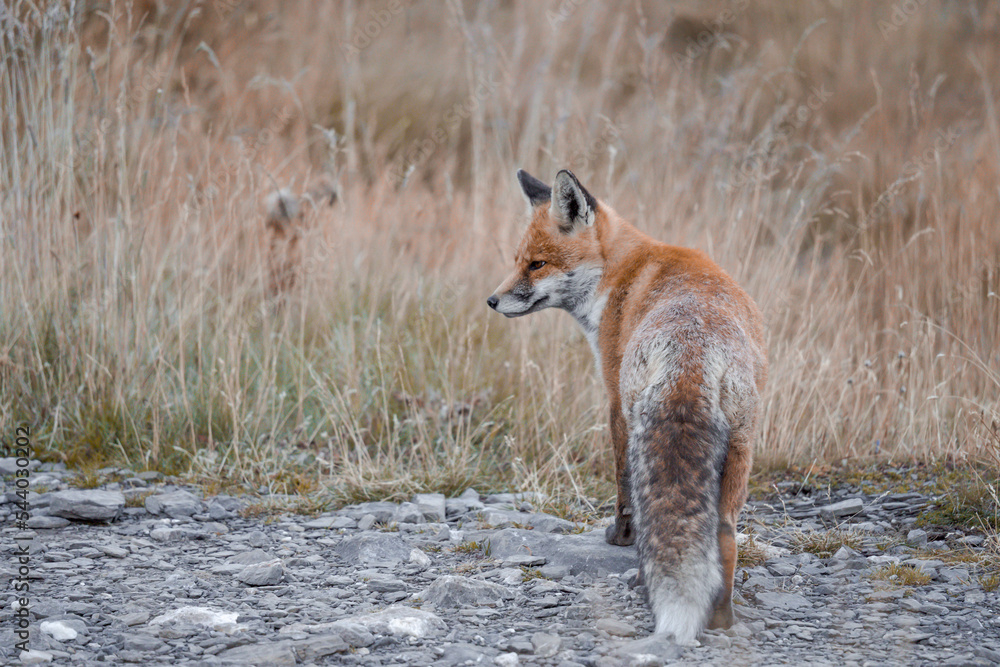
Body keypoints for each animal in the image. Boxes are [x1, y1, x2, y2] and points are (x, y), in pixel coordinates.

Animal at [487, 169, 767, 644]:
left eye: (537, 264)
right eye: (517, 261)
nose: (492, 300)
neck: (620, 272)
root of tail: (692, 351)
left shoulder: (614, 401)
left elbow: (621, 488)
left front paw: (618, 537)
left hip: (644, 427)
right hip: (741, 453)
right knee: (726, 537)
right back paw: (721, 621)